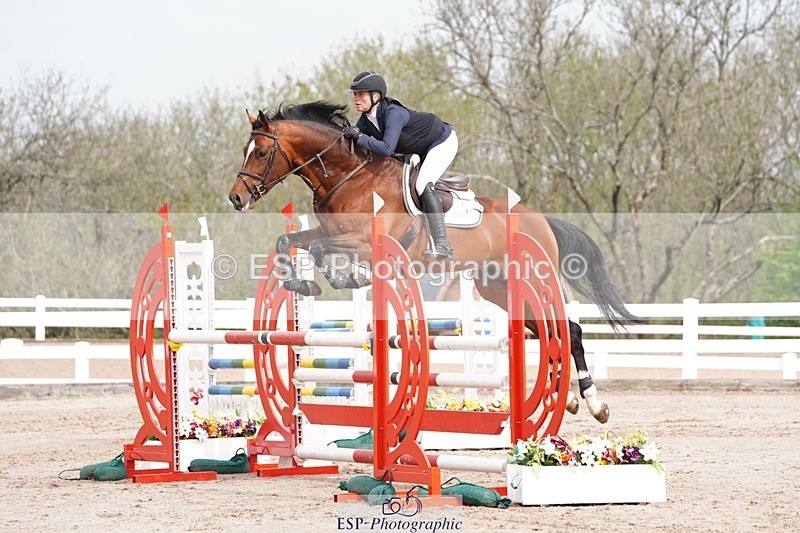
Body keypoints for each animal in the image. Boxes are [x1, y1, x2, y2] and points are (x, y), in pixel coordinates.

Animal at [229, 101, 641, 423]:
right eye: (245, 150)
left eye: (261, 153)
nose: (236, 199)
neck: (348, 177)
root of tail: (540, 218)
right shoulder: (329, 233)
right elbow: (289, 241)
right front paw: (301, 283)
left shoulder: (365, 244)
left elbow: (317, 250)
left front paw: (339, 279)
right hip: (497, 287)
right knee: (547, 331)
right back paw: (568, 400)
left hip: (531, 277)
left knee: (569, 331)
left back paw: (595, 404)